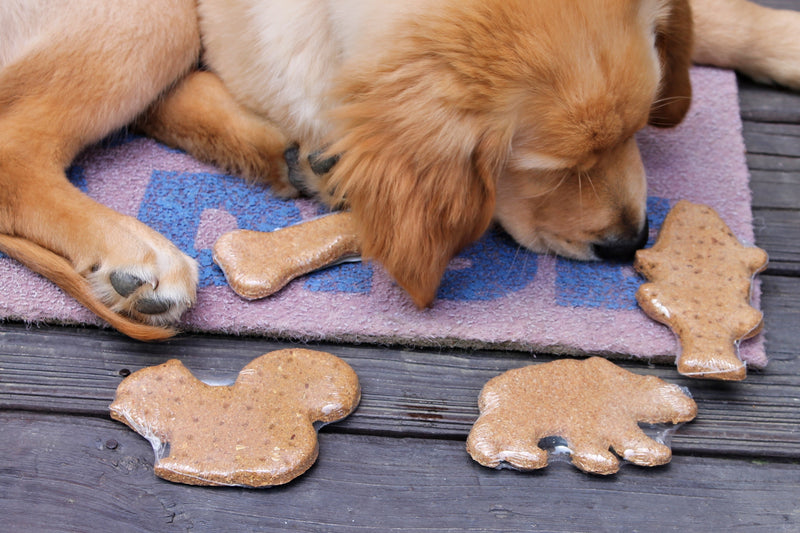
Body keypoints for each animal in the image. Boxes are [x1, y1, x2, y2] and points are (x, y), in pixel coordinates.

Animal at [1, 1, 800, 336]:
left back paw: (292, 153)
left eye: (638, 128)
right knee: (16, 144)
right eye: (549, 166)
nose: (631, 242)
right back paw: (136, 257)